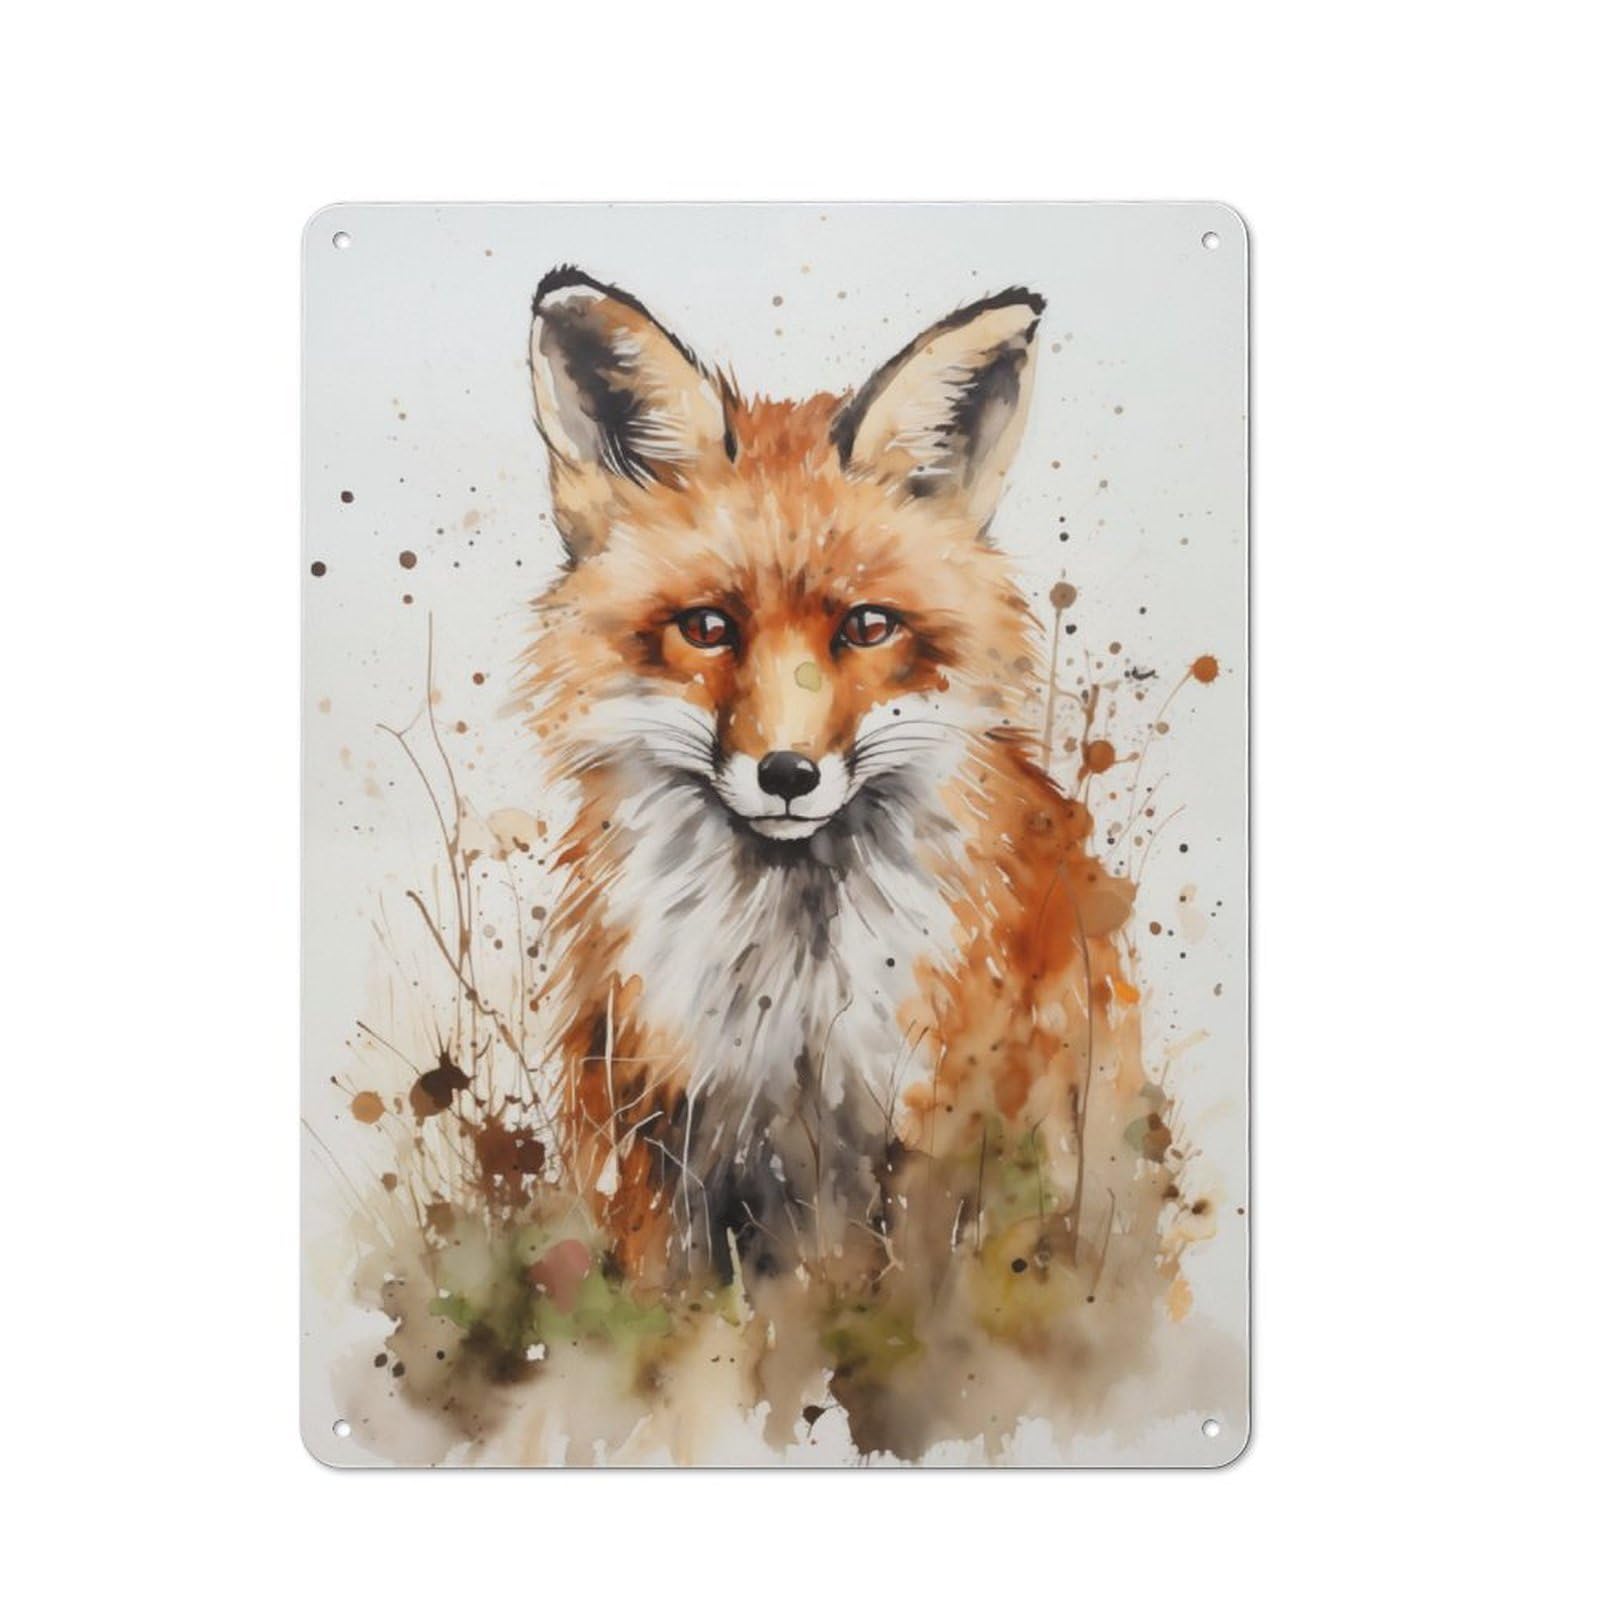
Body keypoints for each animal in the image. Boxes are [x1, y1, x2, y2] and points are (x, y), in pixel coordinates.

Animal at [520, 267, 1146, 1287]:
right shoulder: (654, 1131)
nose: (787, 773)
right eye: (707, 628)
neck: (789, 994)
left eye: (867, 626)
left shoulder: (926, 1134)